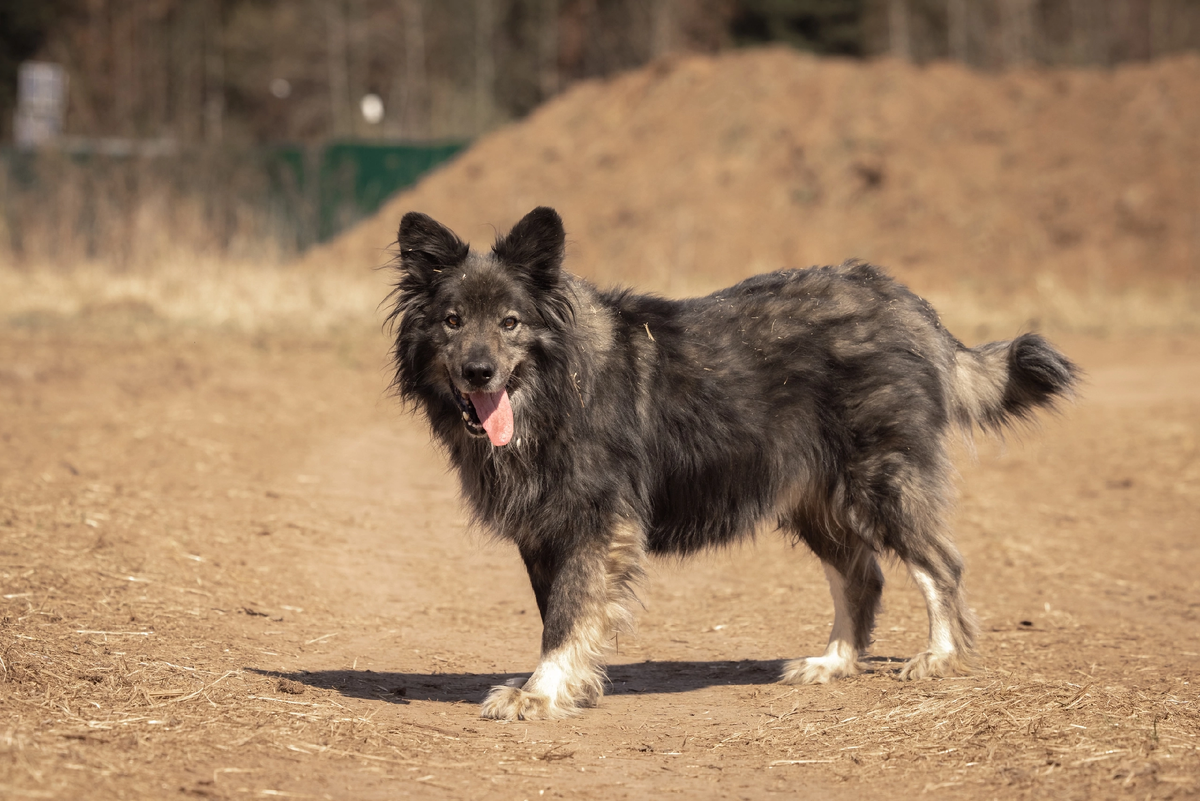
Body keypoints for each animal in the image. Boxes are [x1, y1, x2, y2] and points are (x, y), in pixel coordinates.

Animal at [386, 206, 1080, 719]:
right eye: (452, 322)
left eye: (509, 323)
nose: (479, 372)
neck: (555, 388)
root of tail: (903, 300)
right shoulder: (542, 533)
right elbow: (557, 613)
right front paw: (566, 685)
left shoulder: (593, 524)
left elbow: (565, 615)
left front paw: (540, 692)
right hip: (814, 502)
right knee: (863, 576)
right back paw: (833, 663)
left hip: (881, 483)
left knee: (940, 565)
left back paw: (938, 656)